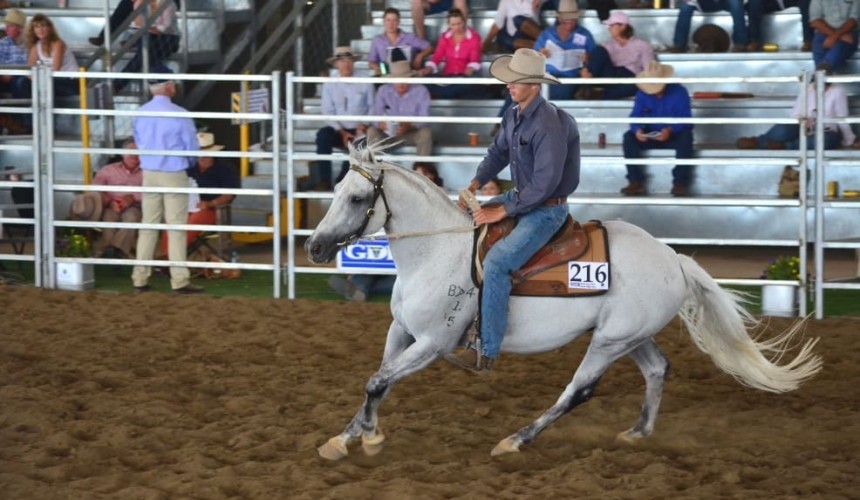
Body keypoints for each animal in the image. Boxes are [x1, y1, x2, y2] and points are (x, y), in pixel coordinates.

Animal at [305, 142, 823, 460]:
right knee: (657, 370)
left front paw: (370, 438)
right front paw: (346, 437)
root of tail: (674, 259)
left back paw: (516, 440)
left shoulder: (434, 342)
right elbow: (378, 381)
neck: (438, 251)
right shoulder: (403, 331)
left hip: (608, 343)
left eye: (356, 198)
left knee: (578, 391)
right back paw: (638, 433)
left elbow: (377, 382)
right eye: (336, 190)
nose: (314, 247)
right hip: (628, 336)